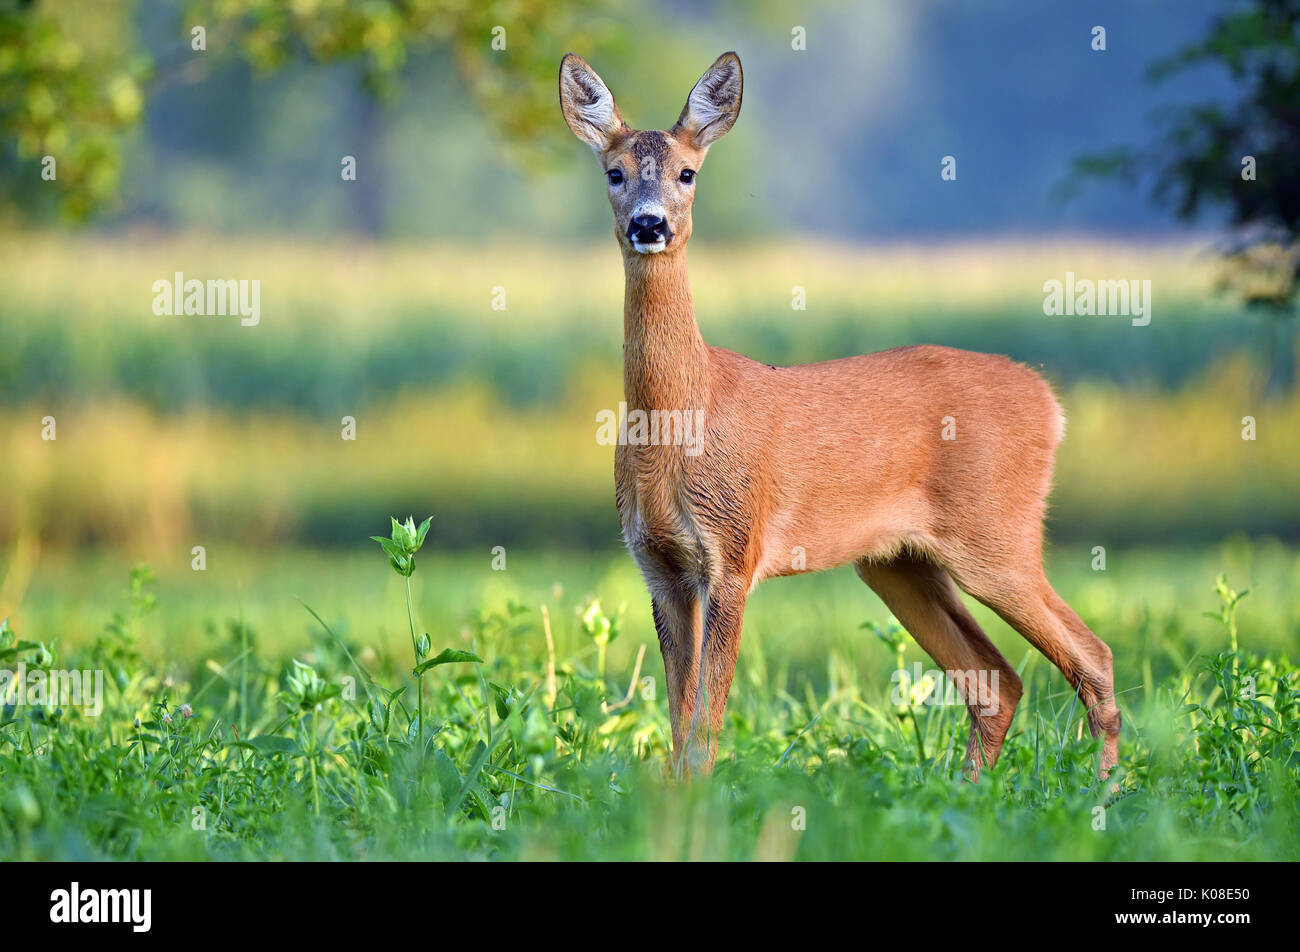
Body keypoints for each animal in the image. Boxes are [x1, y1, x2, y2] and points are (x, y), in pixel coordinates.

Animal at [559, 52, 1118, 775]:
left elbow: (706, 723)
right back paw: (970, 792)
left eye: (687, 172)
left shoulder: (734, 551)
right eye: (615, 171)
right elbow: (679, 728)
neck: (682, 418)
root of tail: (1050, 402)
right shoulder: (659, 565)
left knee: (1092, 658)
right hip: (897, 562)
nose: (649, 224)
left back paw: (1107, 791)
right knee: (997, 681)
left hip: (998, 532)